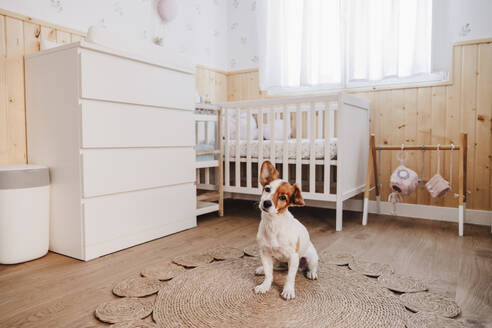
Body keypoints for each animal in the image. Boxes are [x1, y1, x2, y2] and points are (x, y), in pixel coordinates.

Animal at [254, 161, 320, 300]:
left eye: (283, 197)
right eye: (267, 189)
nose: (266, 203)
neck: (273, 224)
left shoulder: (293, 257)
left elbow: (290, 277)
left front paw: (288, 290)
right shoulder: (265, 253)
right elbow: (269, 274)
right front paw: (264, 286)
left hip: (311, 257)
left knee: (311, 267)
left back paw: (311, 273)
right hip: (276, 259)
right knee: (274, 268)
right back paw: (261, 269)